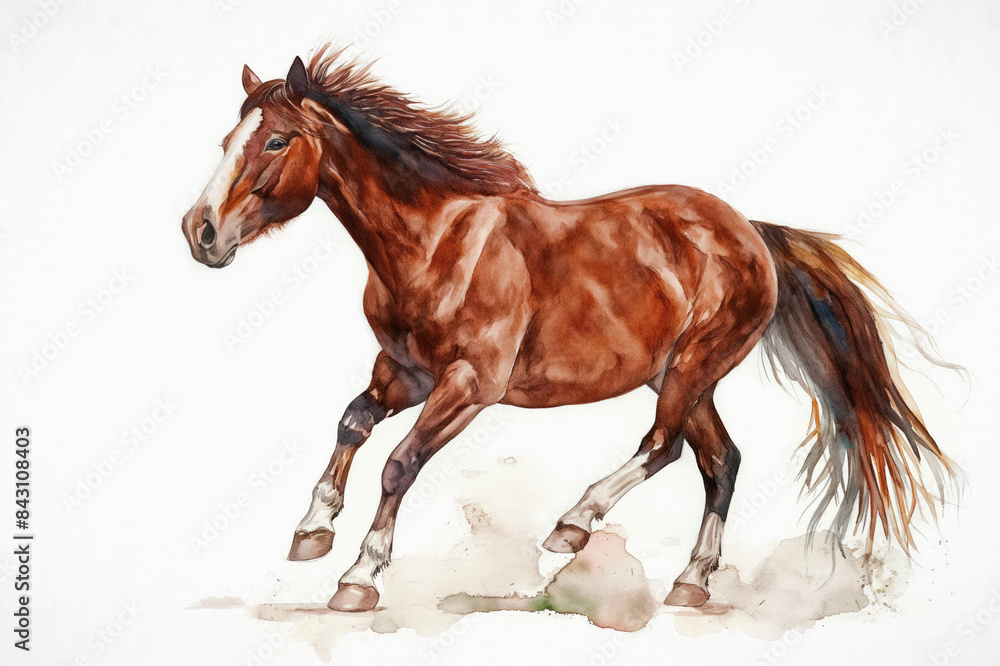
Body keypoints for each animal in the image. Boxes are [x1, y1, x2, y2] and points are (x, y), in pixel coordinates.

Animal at [181, 47, 956, 612]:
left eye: (277, 140)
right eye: (227, 140)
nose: (201, 232)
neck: (437, 243)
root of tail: (750, 232)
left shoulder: (470, 386)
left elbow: (400, 462)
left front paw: (358, 578)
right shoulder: (404, 371)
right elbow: (351, 422)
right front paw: (311, 532)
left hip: (692, 367)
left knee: (665, 446)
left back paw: (573, 525)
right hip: (681, 376)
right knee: (720, 460)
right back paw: (690, 581)